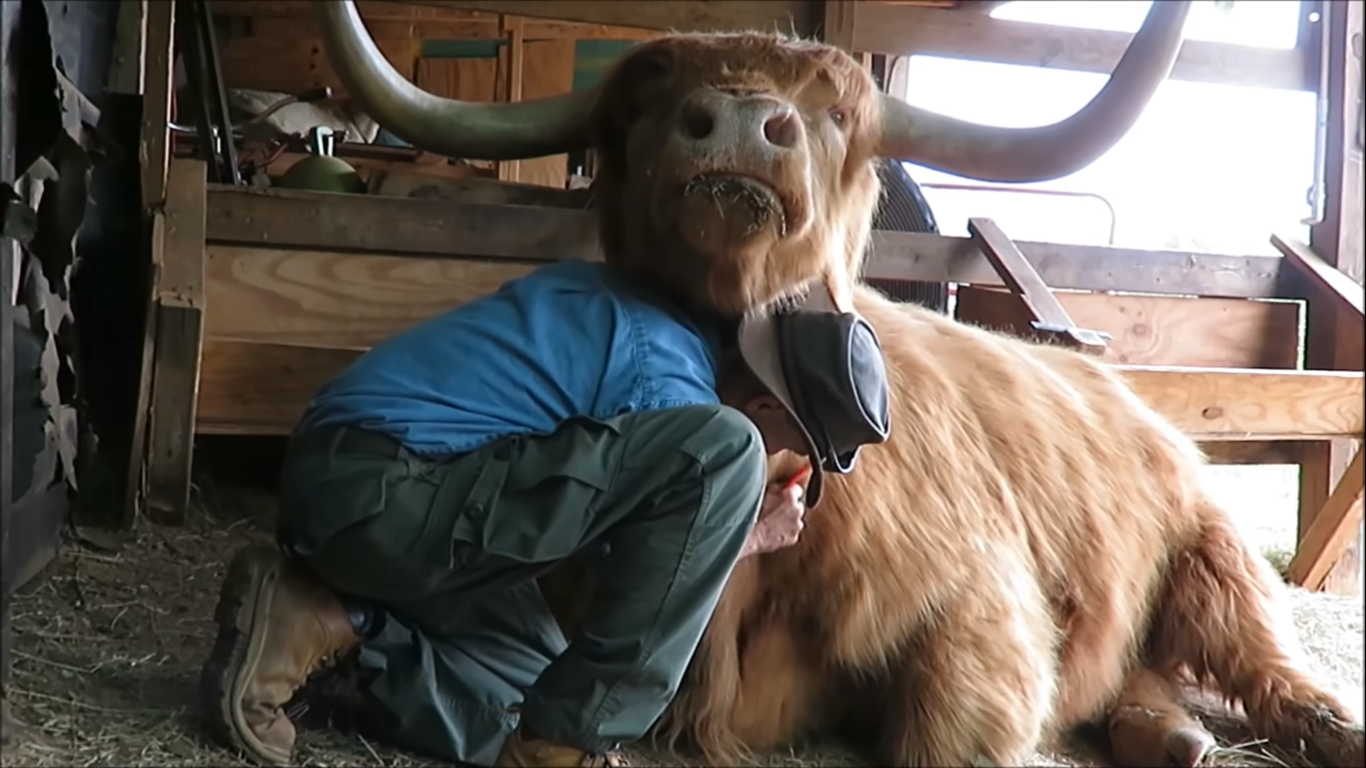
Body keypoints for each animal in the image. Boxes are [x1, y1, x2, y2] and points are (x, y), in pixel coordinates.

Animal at [311, 1, 1364, 765]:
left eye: (837, 113)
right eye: (644, 103)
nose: (740, 121)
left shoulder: (979, 614)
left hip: (1213, 550)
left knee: (1264, 658)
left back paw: (1328, 731)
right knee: (1136, 678)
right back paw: (1171, 735)